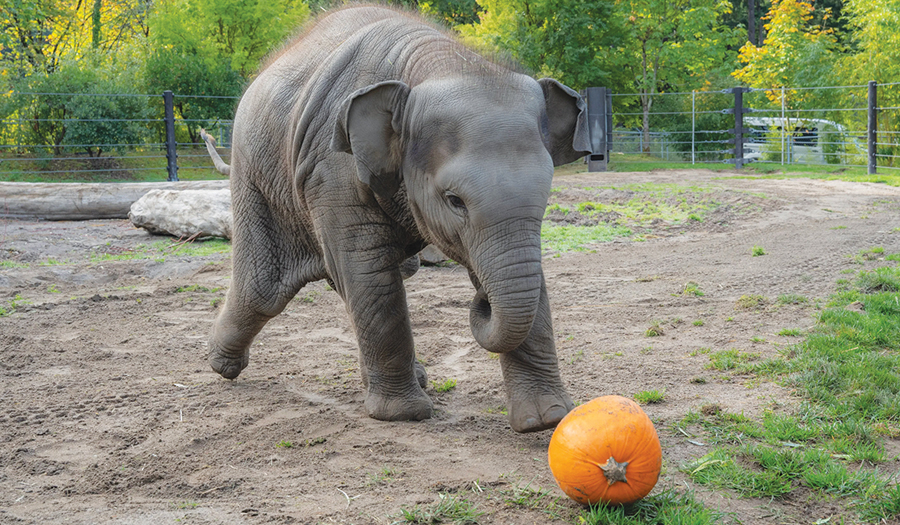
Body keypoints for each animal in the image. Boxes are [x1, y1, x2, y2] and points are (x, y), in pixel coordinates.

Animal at [203, 5, 591, 433]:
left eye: (545, 196)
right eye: (454, 200)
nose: (482, 301)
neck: (448, 64)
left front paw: (546, 419)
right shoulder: (333, 167)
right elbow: (367, 269)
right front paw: (403, 414)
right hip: (257, 175)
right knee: (265, 289)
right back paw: (221, 365)